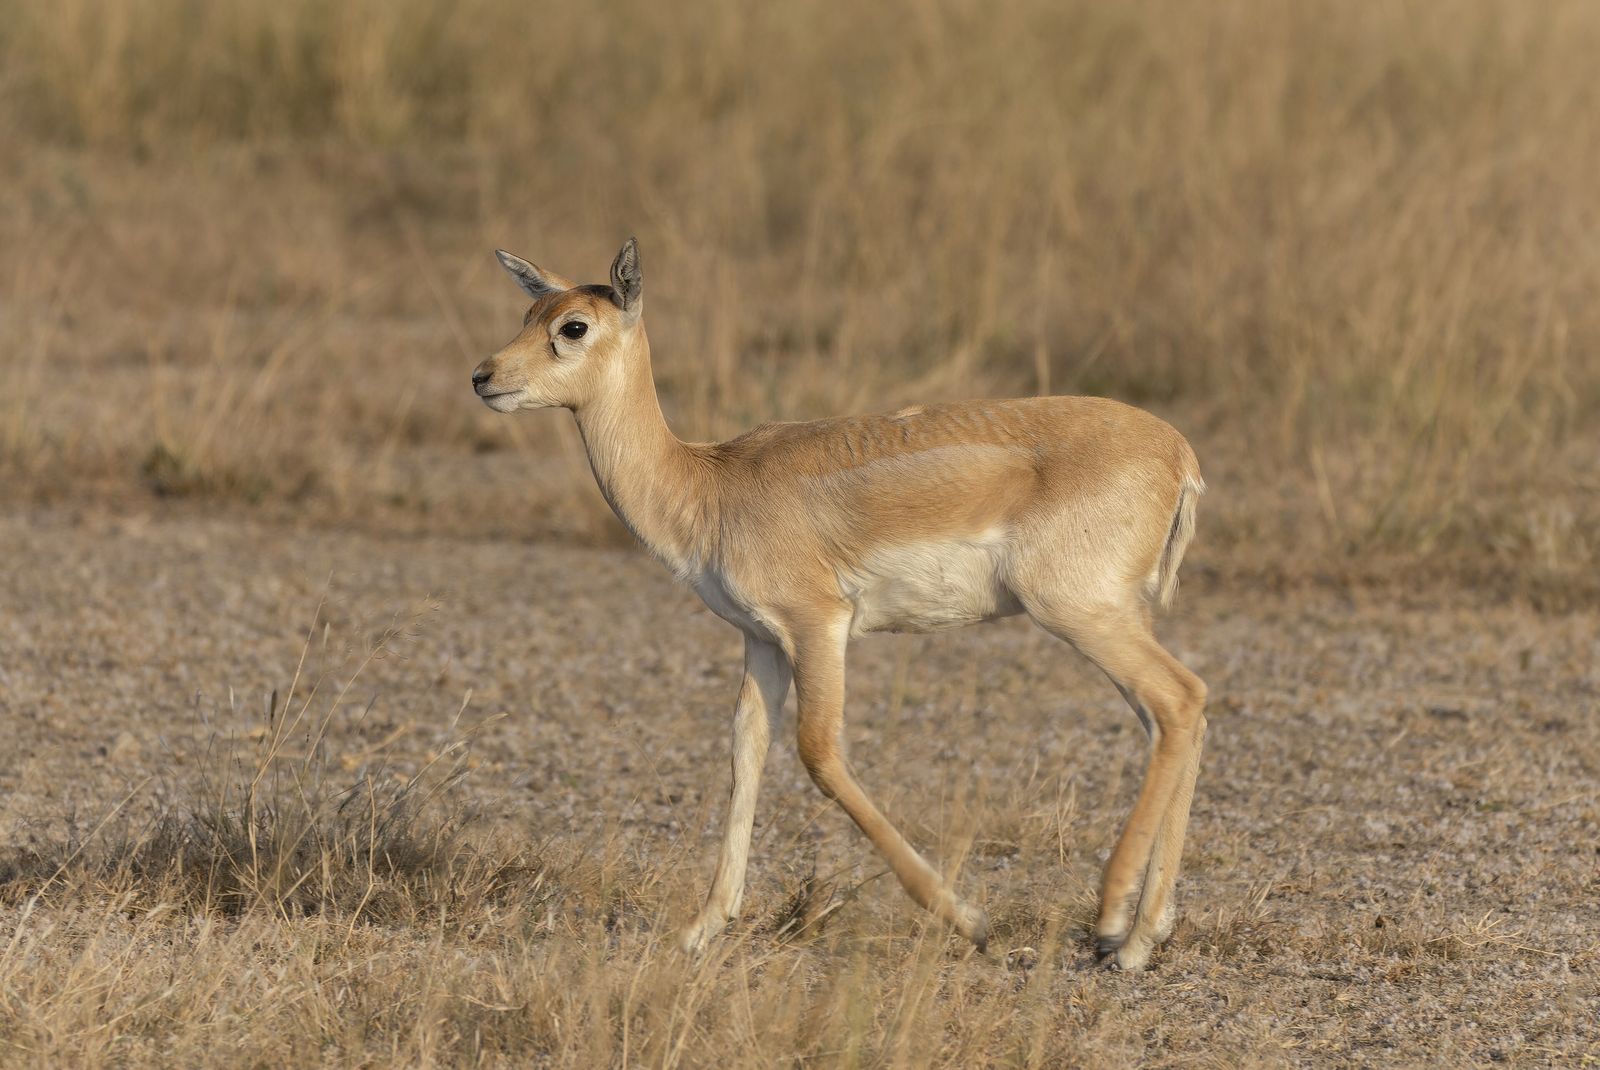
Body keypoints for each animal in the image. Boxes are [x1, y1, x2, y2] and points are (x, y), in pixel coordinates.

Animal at [471, 238, 1207, 971]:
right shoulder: (762, 641)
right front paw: (702, 927)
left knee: (1178, 698)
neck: (707, 485)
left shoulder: (818, 623)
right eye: (530, 311)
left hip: (1077, 613)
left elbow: (819, 752)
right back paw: (1145, 932)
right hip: (1113, 617)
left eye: (573, 326)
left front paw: (971, 919)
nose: (483, 376)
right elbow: (746, 753)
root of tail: (1180, 454)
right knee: (1175, 715)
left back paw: (1114, 924)